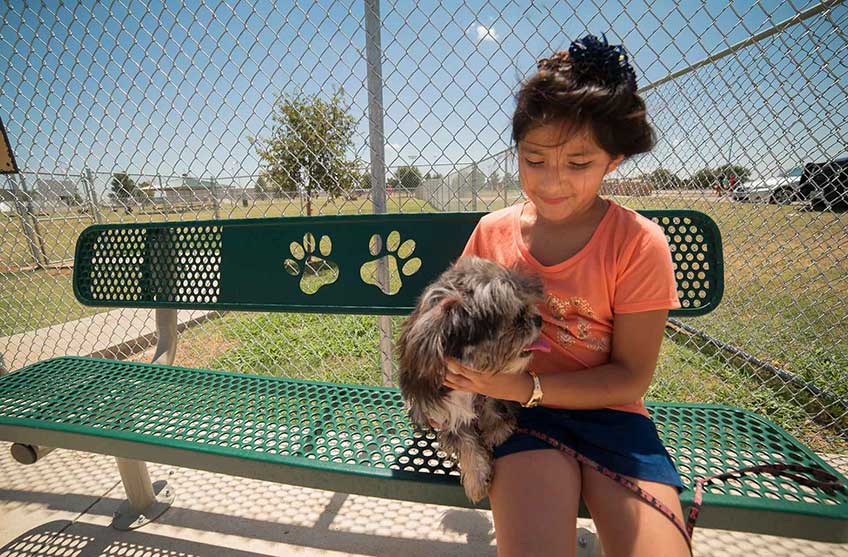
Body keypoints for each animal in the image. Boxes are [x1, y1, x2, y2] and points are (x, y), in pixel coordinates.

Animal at [398, 254, 548, 502]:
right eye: (514, 317)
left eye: (524, 303)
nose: (538, 319)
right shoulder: (448, 411)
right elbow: (465, 442)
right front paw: (477, 478)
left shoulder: (490, 390)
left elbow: (491, 405)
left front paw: (497, 429)